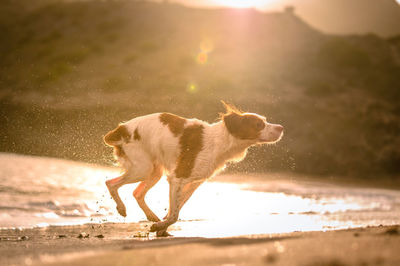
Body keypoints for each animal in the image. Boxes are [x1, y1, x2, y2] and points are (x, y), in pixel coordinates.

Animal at [104, 101, 284, 235]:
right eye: (259, 124)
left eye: (264, 120)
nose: (281, 127)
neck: (219, 142)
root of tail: (121, 129)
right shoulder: (177, 177)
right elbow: (175, 214)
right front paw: (161, 227)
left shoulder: (194, 183)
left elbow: (175, 209)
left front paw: (161, 227)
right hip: (143, 168)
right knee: (110, 183)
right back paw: (122, 208)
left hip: (155, 171)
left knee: (137, 192)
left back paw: (151, 216)